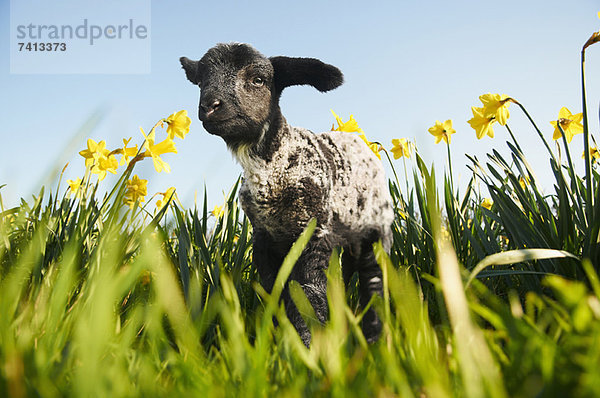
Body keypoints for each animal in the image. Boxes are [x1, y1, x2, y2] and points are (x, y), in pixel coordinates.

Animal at [180, 42, 396, 344]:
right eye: (201, 81)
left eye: (259, 79)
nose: (209, 107)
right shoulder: (264, 240)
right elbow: (276, 292)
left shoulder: (312, 233)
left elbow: (308, 293)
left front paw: (309, 344)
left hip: (377, 230)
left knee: (374, 279)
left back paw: (374, 336)